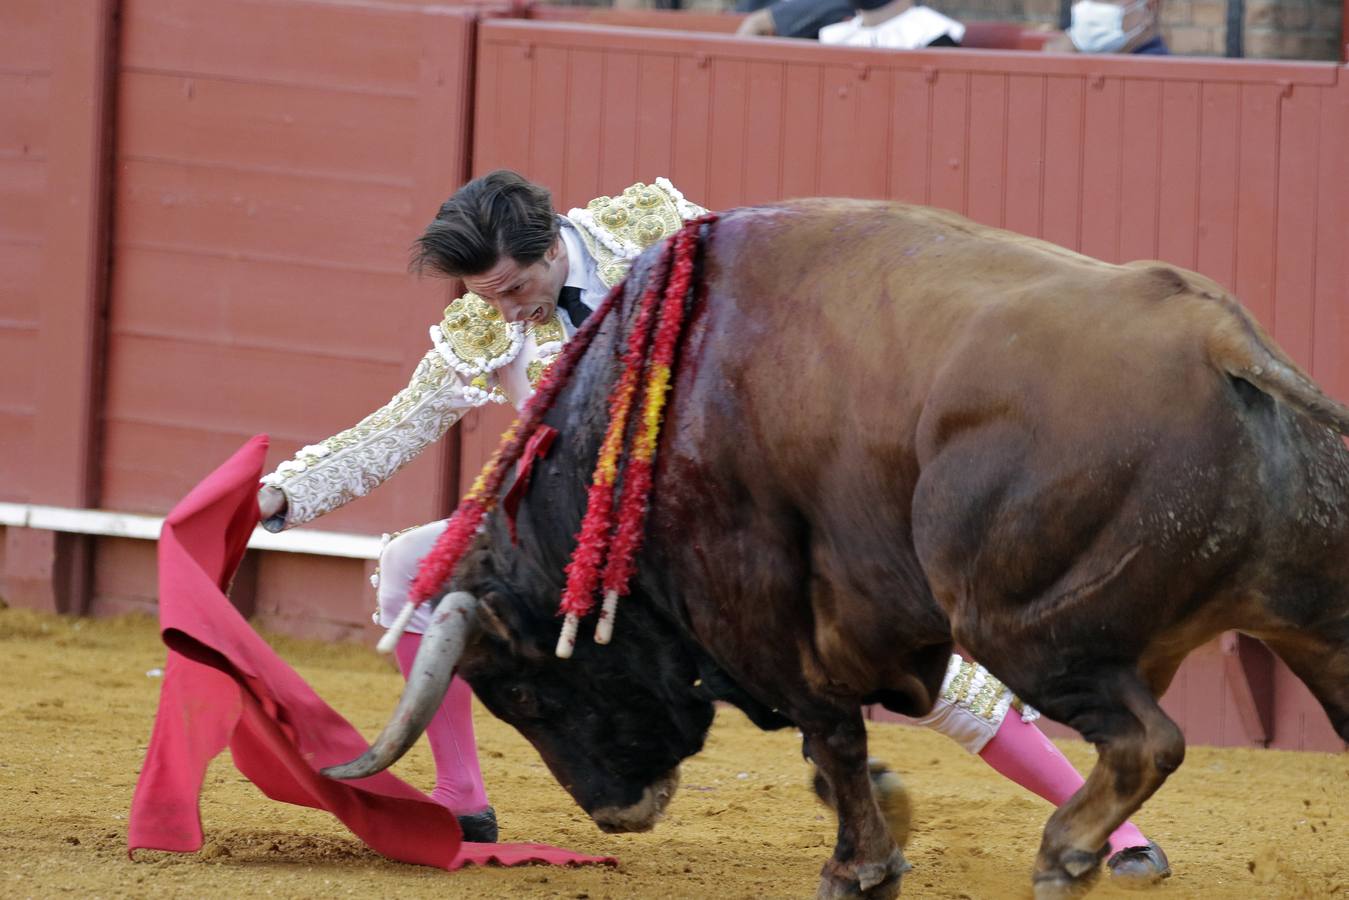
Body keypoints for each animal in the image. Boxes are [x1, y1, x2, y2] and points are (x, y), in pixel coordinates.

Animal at [321, 201, 1343, 895]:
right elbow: (843, 745)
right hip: (1310, 624)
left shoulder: (757, 604)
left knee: (1141, 740)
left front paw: (859, 865)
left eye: (529, 694)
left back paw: (1069, 854)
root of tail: (1218, 338)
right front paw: (881, 825)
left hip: (1024, 627)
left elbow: (832, 732)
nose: (618, 811)